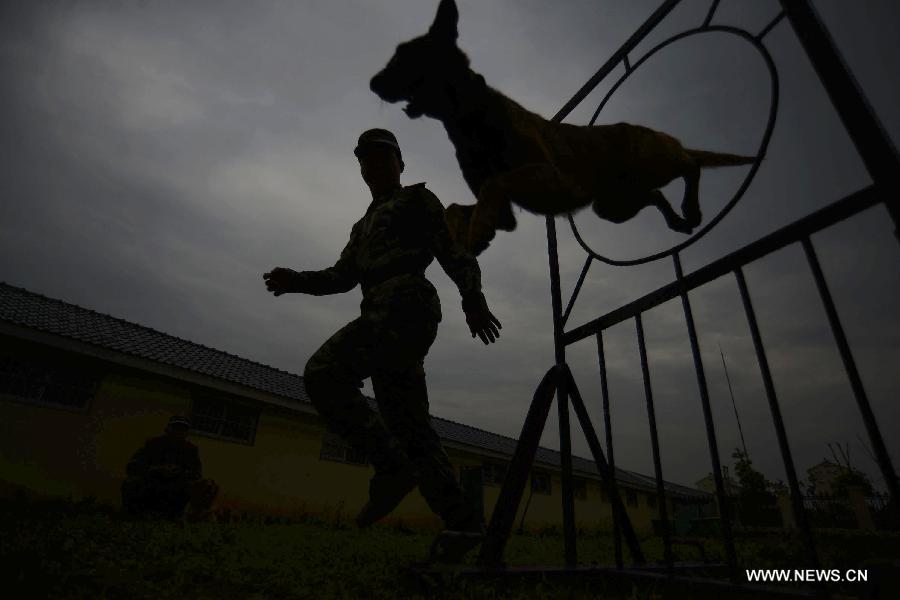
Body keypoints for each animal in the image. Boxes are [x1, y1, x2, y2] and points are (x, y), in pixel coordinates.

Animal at [370, 0, 756, 254]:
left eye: (404, 54)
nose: (372, 83)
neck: (470, 121)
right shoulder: (505, 214)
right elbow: (456, 206)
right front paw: (464, 233)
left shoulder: (555, 180)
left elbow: (497, 181)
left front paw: (476, 230)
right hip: (614, 206)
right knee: (657, 194)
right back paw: (677, 220)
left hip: (653, 163)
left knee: (691, 165)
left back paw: (691, 207)